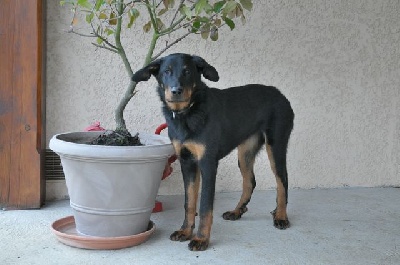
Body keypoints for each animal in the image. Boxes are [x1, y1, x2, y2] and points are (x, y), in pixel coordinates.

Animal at [134, 53, 294, 250]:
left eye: (187, 72)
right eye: (166, 72)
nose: (176, 91)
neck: (188, 113)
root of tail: (280, 94)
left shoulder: (208, 163)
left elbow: (204, 206)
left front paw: (201, 239)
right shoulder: (187, 163)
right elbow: (189, 203)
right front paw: (185, 231)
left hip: (276, 145)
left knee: (282, 181)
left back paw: (281, 216)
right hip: (245, 152)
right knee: (250, 181)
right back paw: (236, 211)